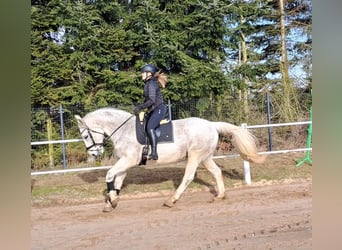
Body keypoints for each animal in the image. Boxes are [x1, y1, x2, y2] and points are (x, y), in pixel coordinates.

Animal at [75, 106, 268, 212]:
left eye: (85, 135)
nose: (95, 154)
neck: (124, 129)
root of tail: (211, 125)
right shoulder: (125, 162)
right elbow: (117, 182)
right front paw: (111, 202)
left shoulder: (129, 160)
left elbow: (109, 175)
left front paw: (112, 201)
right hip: (205, 157)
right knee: (216, 172)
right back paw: (220, 196)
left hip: (195, 156)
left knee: (188, 177)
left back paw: (171, 200)